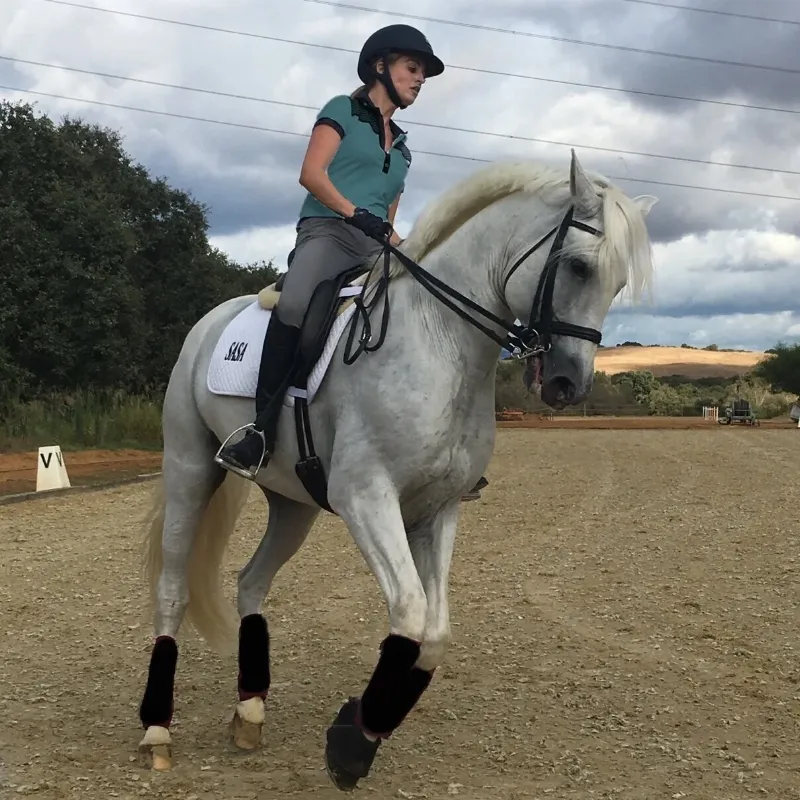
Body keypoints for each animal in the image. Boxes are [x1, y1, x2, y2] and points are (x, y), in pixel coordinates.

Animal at [137, 150, 657, 790]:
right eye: (579, 268)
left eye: (617, 282)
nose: (568, 385)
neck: (440, 341)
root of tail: (210, 320)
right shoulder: (367, 497)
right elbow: (409, 613)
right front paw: (349, 746)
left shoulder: (438, 509)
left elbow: (433, 634)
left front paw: (358, 732)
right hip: (189, 469)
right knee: (172, 591)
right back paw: (157, 732)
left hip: (294, 505)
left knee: (250, 583)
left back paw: (250, 713)